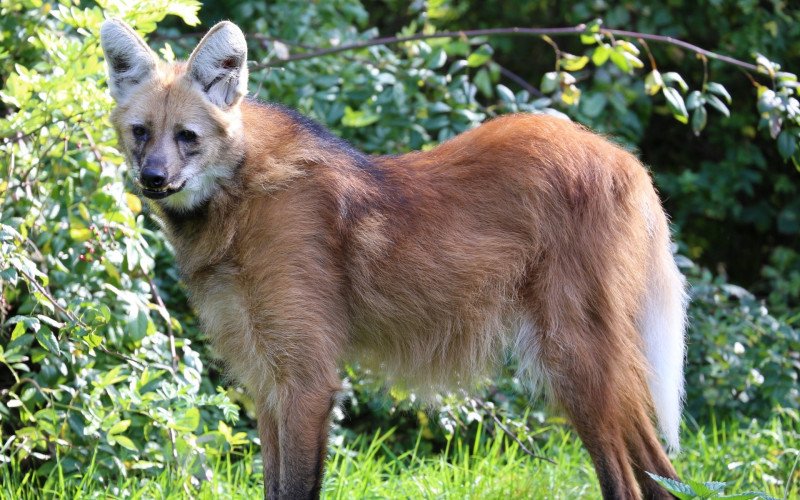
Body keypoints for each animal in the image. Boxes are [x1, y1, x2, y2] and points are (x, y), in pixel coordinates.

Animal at [100, 19, 687, 499]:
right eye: (141, 133)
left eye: (188, 137)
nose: (153, 179)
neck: (240, 197)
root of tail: (622, 157)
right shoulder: (266, 380)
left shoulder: (306, 378)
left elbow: (294, 485)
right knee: (659, 471)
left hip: (571, 355)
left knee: (626, 481)